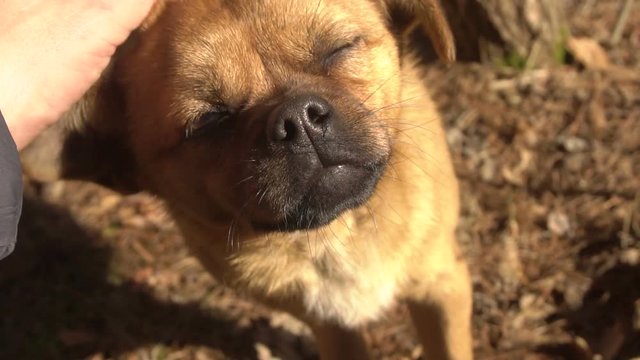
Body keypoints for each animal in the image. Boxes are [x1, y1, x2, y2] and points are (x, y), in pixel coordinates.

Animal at [21, 1, 470, 358]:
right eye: (209, 121)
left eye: (338, 50)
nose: (297, 119)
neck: (333, 236)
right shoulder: (332, 326)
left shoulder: (444, 288)